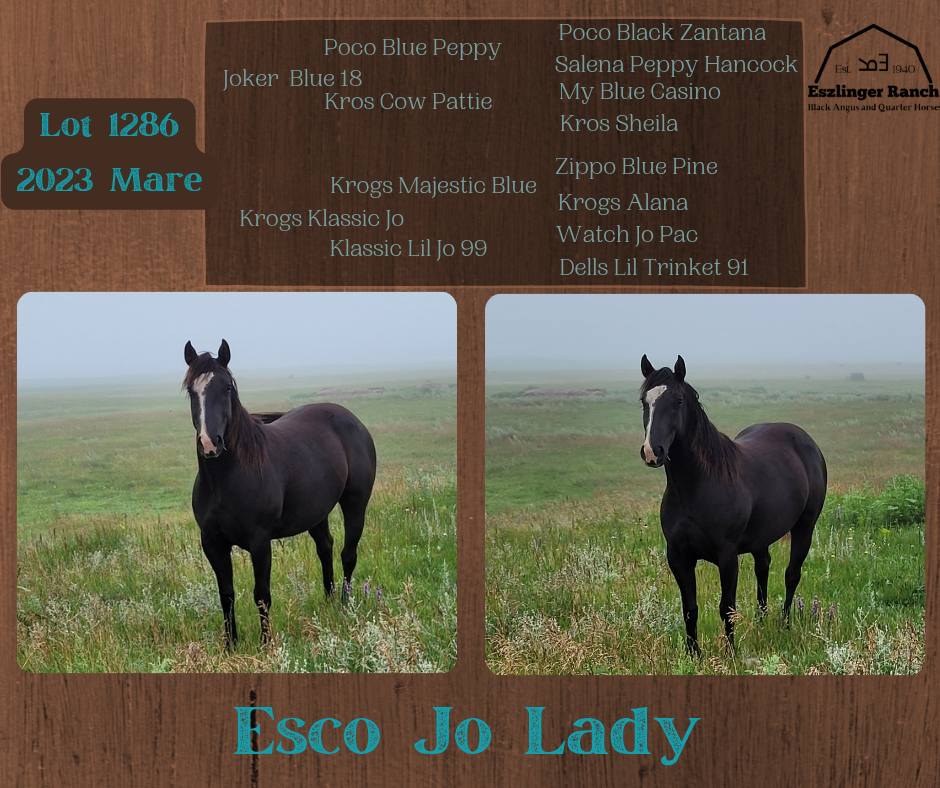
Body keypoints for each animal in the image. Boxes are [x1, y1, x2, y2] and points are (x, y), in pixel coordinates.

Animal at [183, 339, 377, 648]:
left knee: (348, 554)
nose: (210, 443)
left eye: (227, 388)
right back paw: (329, 601)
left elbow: (261, 594)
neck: (226, 480)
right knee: (325, 548)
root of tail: (352, 420)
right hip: (316, 512)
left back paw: (346, 606)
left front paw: (266, 644)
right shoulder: (213, 543)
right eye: (192, 391)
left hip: (355, 504)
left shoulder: (260, 542)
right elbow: (226, 594)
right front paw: (231, 644)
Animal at [638, 354, 827, 654]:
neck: (698, 486)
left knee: (791, 574)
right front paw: (693, 653)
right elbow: (689, 608)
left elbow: (726, 607)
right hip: (761, 538)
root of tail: (806, 441)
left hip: (804, 527)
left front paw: (731, 652)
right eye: (645, 401)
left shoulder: (727, 557)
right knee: (763, 569)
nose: (651, 451)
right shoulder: (678, 556)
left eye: (677, 401)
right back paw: (761, 623)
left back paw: (784, 624)